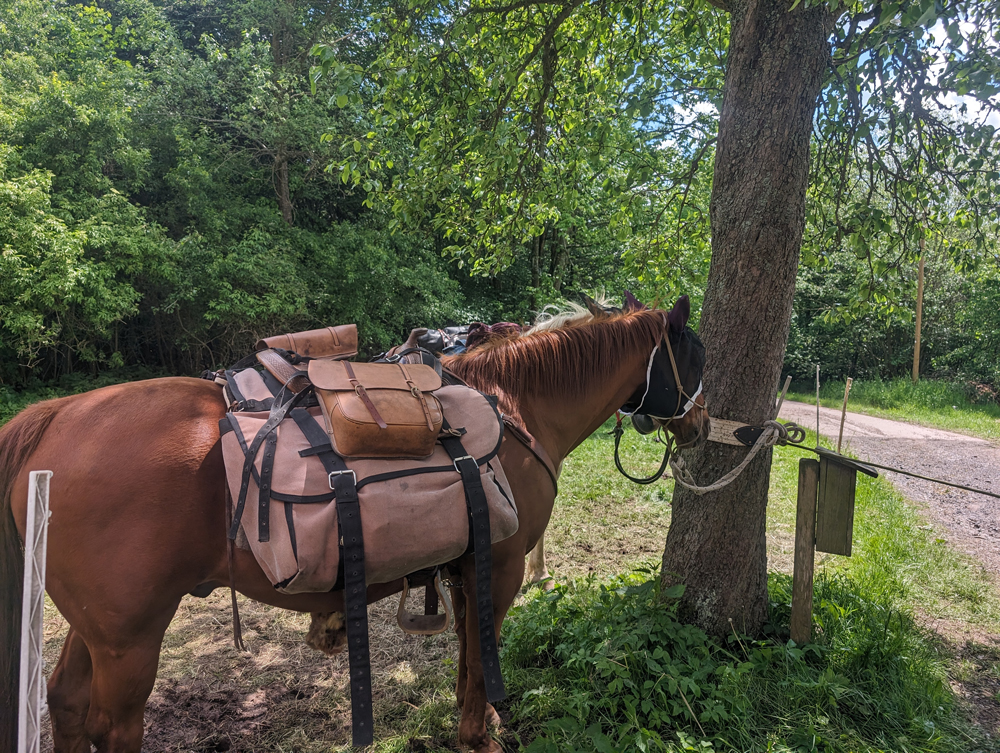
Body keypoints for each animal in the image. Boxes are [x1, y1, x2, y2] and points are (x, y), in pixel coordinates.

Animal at [0, 296, 708, 752]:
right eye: (698, 359)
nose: (703, 424)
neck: (513, 411)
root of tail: (55, 415)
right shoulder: (500, 567)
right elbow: (484, 656)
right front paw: (479, 736)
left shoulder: (464, 567)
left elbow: (466, 659)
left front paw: (467, 725)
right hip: (131, 639)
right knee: (110, 727)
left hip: (99, 629)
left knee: (65, 703)